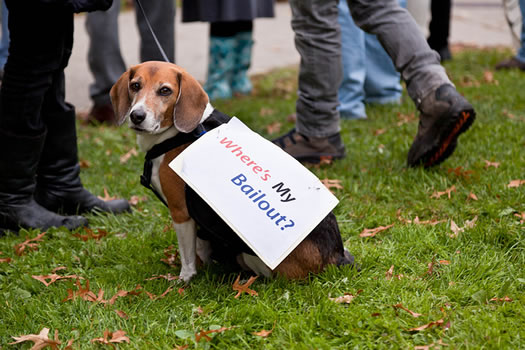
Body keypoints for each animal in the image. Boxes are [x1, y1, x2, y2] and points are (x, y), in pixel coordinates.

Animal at [110, 61, 356, 284]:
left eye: (165, 90)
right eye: (135, 85)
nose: (137, 116)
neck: (177, 134)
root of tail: (336, 256)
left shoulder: (180, 211)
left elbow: (188, 255)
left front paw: (185, 279)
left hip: (250, 257)